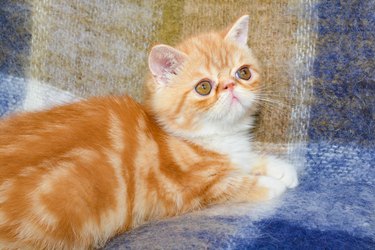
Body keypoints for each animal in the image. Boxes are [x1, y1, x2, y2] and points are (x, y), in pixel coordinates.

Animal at [0, 15, 300, 248]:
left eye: (243, 73)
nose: (230, 86)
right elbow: (235, 184)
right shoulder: (185, 189)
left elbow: (246, 159)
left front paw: (283, 169)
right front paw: (271, 184)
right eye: (204, 87)